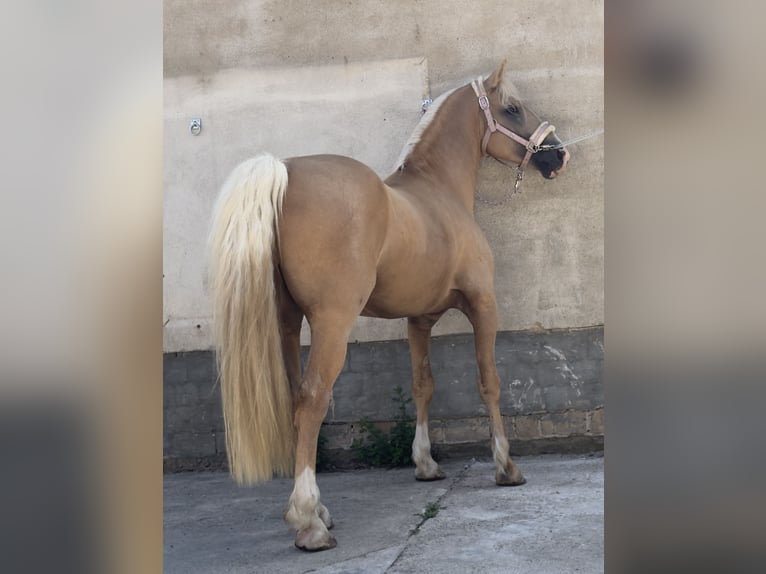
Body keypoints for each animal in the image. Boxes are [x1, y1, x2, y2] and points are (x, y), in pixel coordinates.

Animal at [210, 59, 568, 552]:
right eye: (512, 108)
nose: (558, 155)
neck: (438, 192)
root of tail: (283, 171)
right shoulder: (483, 305)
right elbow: (489, 383)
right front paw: (506, 466)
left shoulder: (418, 320)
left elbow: (423, 385)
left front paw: (426, 465)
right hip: (332, 324)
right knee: (312, 400)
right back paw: (309, 520)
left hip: (286, 322)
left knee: (294, 398)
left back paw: (318, 510)